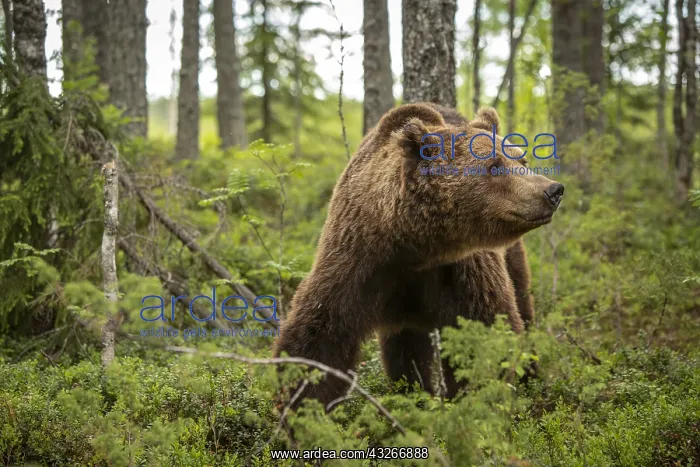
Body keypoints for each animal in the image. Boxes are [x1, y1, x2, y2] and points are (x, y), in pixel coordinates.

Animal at [273, 103, 564, 409]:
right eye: (494, 164)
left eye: (522, 160)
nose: (552, 190)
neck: (416, 247)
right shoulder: (358, 260)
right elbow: (320, 336)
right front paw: (299, 403)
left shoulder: (462, 271)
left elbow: (486, 329)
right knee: (405, 347)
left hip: (511, 257)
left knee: (523, 303)